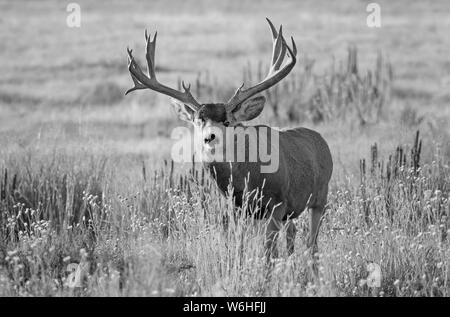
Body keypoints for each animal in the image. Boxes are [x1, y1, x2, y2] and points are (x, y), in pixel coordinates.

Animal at [125, 17, 332, 260]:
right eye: (198, 121)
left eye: (226, 122)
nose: (210, 137)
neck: (249, 177)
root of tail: (321, 139)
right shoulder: (235, 208)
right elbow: (239, 246)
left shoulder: (277, 203)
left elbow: (268, 252)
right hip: (291, 212)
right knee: (293, 234)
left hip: (320, 196)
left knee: (312, 242)